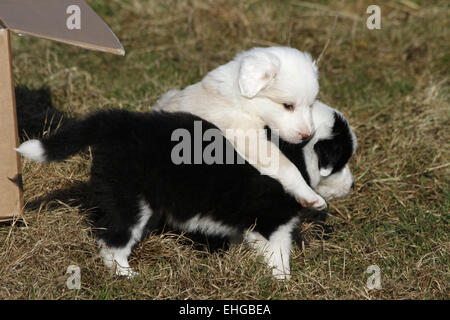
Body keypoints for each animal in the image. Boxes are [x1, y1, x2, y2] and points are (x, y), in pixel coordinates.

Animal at [16, 100, 356, 280]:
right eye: (343, 160)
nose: (352, 185)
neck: (296, 152)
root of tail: (123, 122)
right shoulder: (273, 223)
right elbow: (279, 256)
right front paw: (283, 282)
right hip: (132, 201)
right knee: (112, 242)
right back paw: (127, 276)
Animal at [155, 46, 326, 209]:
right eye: (288, 106)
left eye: (310, 105)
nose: (307, 135)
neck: (244, 102)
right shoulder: (249, 140)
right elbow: (287, 166)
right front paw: (310, 195)